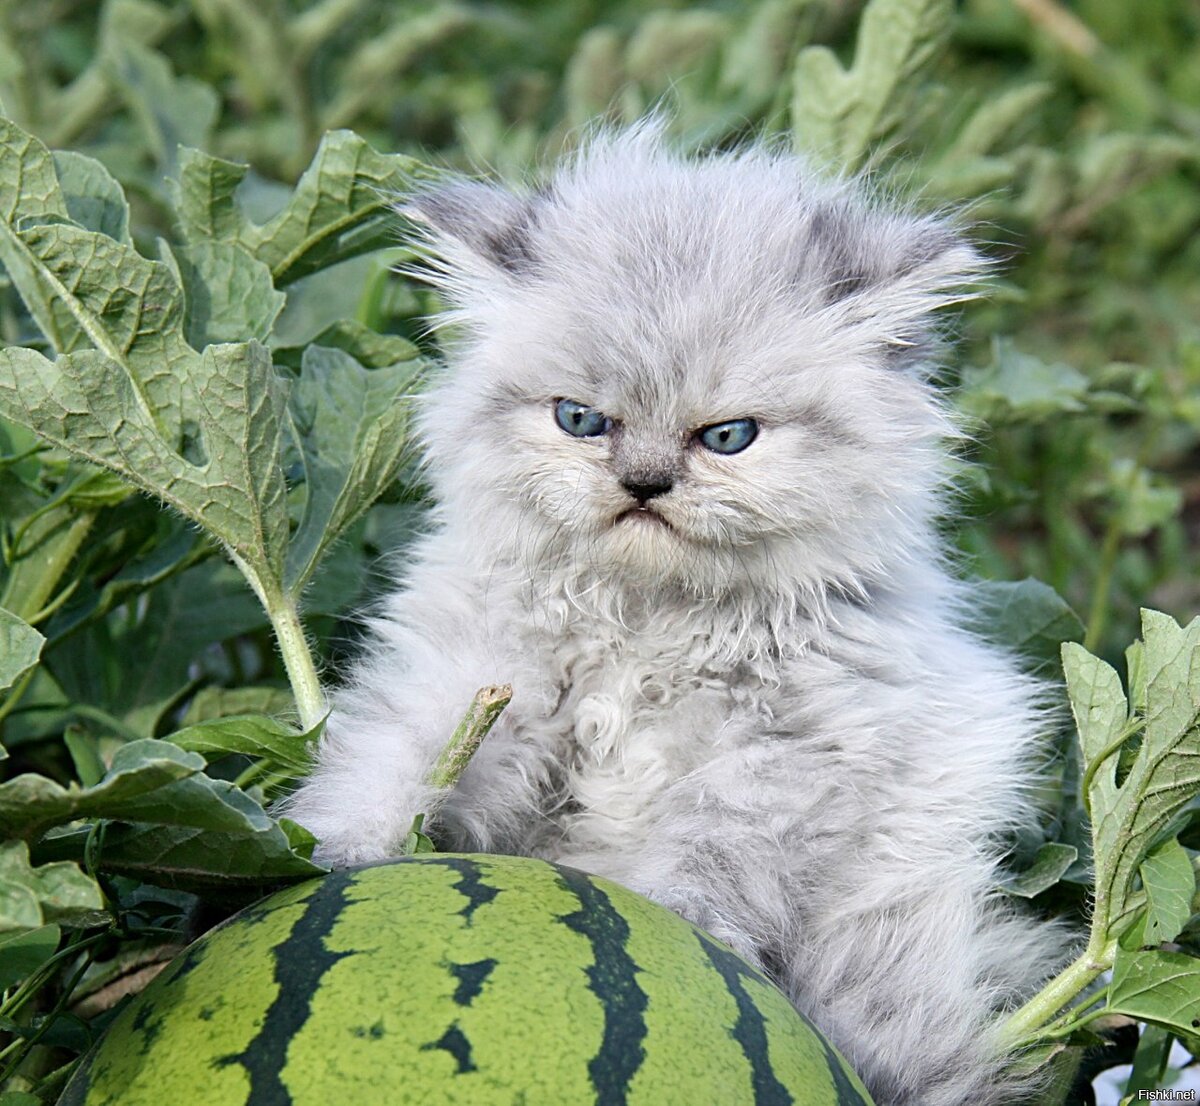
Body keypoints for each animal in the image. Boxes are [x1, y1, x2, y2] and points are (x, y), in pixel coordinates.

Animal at [288, 124, 1070, 1098]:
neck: (645, 627)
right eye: (580, 420)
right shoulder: (480, 687)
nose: (645, 484)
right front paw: (332, 856)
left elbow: (702, 874)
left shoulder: (778, 765)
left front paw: (677, 939)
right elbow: (391, 765)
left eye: (728, 437)